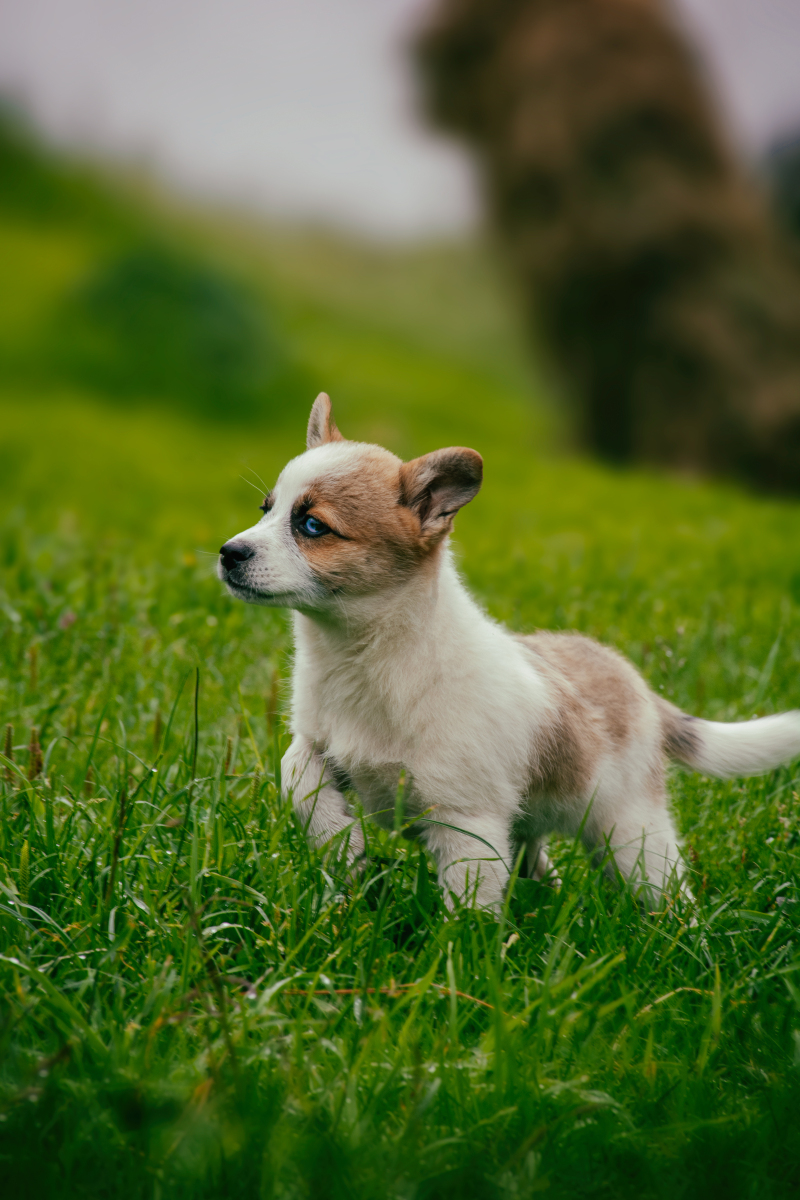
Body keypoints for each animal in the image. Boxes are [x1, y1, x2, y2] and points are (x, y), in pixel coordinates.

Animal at [219, 393, 800, 907]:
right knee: (542, 867)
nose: (228, 553)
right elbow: (296, 776)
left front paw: (457, 953)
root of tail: (633, 682)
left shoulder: (467, 823)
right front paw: (343, 846)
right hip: (534, 827)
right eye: (265, 510)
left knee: (667, 891)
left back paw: (682, 938)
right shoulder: (317, 741)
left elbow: (468, 910)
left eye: (312, 526)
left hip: (632, 836)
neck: (365, 656)